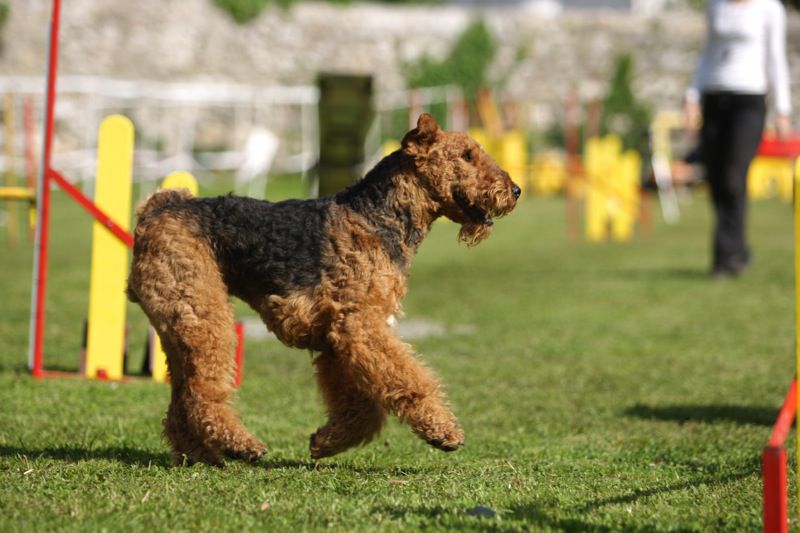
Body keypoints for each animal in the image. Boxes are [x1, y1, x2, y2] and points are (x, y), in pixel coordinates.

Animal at [126, 114, 520, 464]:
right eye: (466, 155)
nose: (514, 191)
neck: (375, 217)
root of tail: (158, 209)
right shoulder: (359, 326)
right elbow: (408, 378)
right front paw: (443, 431)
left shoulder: (338, 338)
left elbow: (362, 408)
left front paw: (325, 441)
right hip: (207, 321)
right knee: (201, 396)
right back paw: (242, 446)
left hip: (181, 330)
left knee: (181, 401)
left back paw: (200, 455)